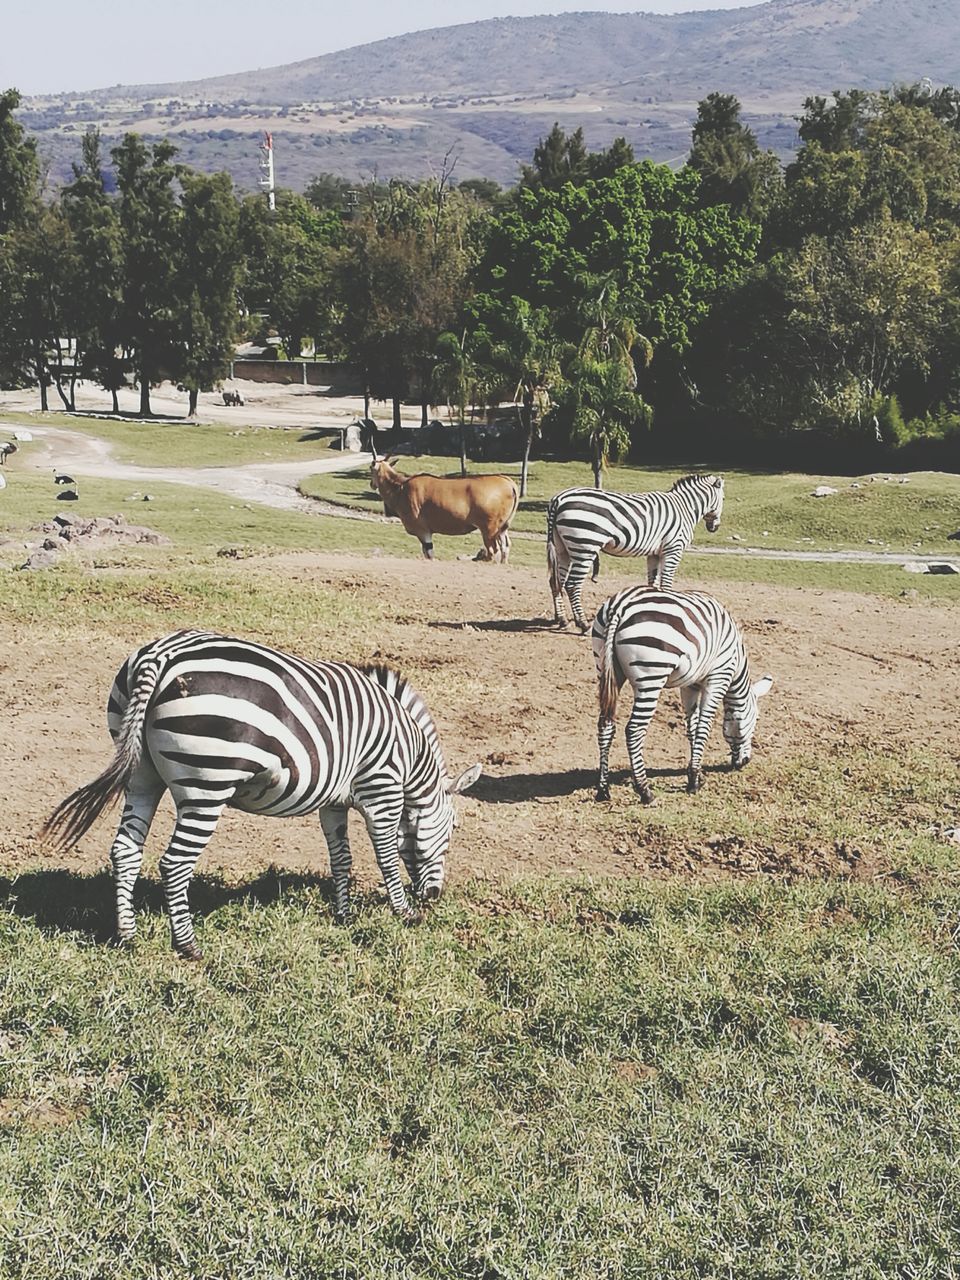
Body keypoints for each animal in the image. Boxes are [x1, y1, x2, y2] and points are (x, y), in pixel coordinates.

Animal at [42, 632, 483, 962]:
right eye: (454, 828)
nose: (434, 896)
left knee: (125, 850)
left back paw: (127, 934)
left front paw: (342, 914)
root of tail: (161, 652)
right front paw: (404, 913)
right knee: (174, 863)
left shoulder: (334, 802)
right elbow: (387, 857)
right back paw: (187, 945)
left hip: (141, 775)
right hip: (207, 783)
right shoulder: (382, 789)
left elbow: (341, 858)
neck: (410, 755)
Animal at [371, 458, 522, 563]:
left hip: (489, 531)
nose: (372, 484)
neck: (401, 488)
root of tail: (508, 482)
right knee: (505, 547)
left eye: (371, 468)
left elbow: (429, 554)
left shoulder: (423, 531)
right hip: (502, 529)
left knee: (492, 551)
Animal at [545, 473, 727, 632]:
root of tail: (559, 498)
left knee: (555, 582)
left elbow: (653, 583)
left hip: (563, 549)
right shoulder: (673, 549)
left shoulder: (654, 553)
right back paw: (582, 624)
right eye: (724, 499)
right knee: (572, 584)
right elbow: (666, 583)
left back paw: (562, 620)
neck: (685, 508)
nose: (714, 528)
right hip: (585, 547)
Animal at [593, 586, 773, 798]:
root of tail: (621, 604)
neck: (736, 662)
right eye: (755, 720)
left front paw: (697, 774)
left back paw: (603, 790)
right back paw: (645, 791)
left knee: (605, 725)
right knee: (634, 730)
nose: (745, 762)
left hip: (606, 669)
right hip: (650, 677)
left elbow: (692, 727)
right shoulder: (718, 676)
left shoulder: (690, 684)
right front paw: (694, 780)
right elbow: (703, 727)